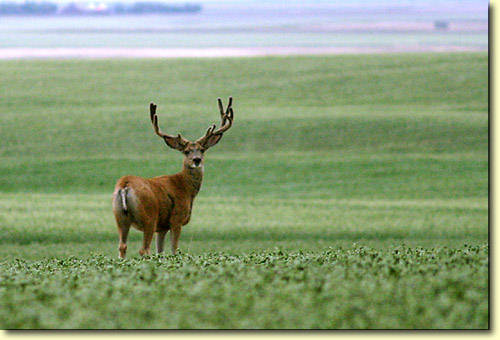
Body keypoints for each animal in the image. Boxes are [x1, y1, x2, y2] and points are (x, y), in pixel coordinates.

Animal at [111, 97, 234, 258]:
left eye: (202, 150)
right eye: (186, 151)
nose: (196, 160)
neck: (186, 188)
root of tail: (125, 186)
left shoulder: (162, 227)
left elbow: (160, 251)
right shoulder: (176, 219)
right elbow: (174, 249)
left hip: (120, 217)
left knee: (122, 246)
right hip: (149, 216)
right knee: (144, 249)